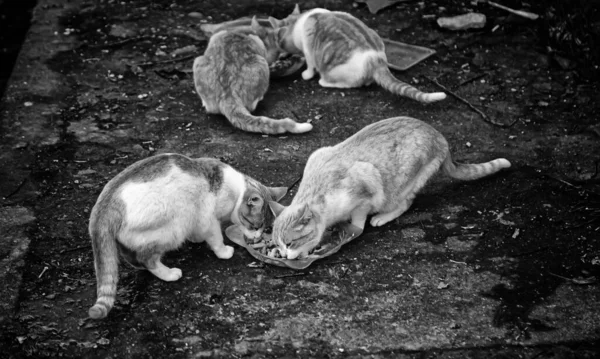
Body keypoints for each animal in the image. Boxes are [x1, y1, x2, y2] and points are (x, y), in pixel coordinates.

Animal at [87, 153, 288, 320]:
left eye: (266, 228)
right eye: (255, 226)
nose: (256, 238)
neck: (234, 190)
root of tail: (104, 206)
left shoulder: (197, 216)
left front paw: (196, 239)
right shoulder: (209, 219)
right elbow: (216, 239)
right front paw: (223, 252)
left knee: (131, 255)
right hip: (174, 228)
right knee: (147, 259)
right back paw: (168, 274)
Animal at [270, 5, 448, 104]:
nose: (280, 55)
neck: (300, 22)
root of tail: (377, 59)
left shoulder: (308, 47)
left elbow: (310, 65)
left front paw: (306, 74)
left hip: (335, 71)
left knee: (348, 83)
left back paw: (325, 81)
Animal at [272, 116, 510, 260]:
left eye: (290, 243)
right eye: (279, 245)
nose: (283, 255)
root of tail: (438, 135)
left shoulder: (365, 186)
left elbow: (358, 220)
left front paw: (352, 230)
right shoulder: (318, 154)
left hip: (402, 185)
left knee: (406, 203)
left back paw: (382, 217)